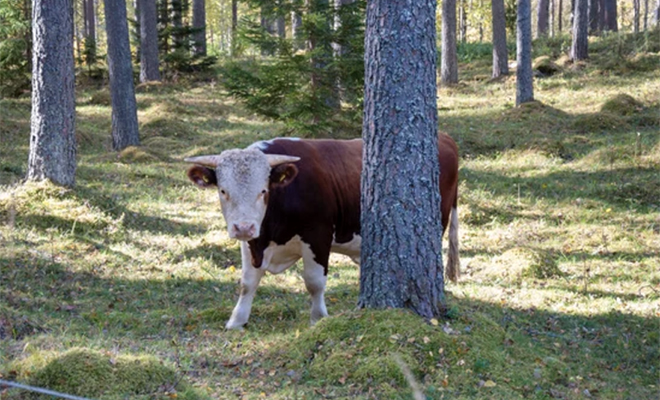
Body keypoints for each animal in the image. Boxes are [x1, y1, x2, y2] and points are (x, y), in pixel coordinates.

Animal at [183, 136, 456, 330]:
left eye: (263, 190)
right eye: (223, 191)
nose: (243, 227)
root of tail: (445, 139)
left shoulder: (318, 236)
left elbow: (314, 283)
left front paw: (318, 318)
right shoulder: (252, 242)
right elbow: (247, 283)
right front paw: (237, 321)